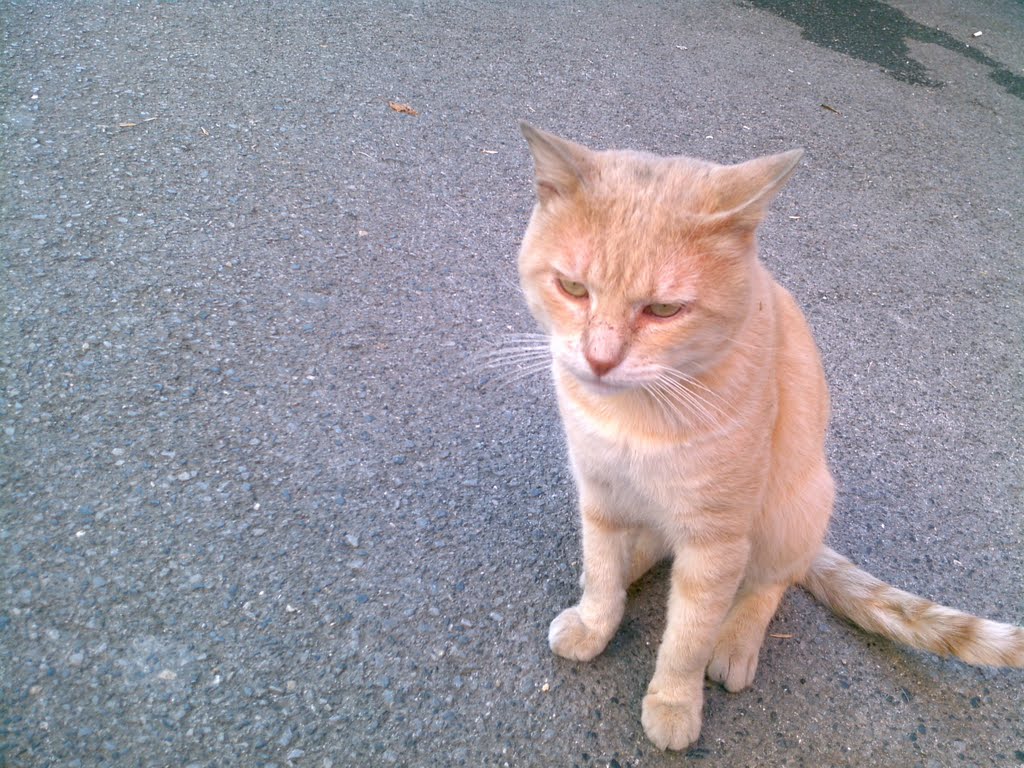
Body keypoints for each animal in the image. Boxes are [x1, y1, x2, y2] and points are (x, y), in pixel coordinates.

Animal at [512, 123, 1024, 753]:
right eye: (573, 288)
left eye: (663, 309)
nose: (600, 360)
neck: (636, 412)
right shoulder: (601, 494)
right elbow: (605, 573)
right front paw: (595, 617)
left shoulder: (717, 540)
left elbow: (688, 635)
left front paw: (675, 701)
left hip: (793, 508)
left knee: (767, 585)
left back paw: (735, 641)